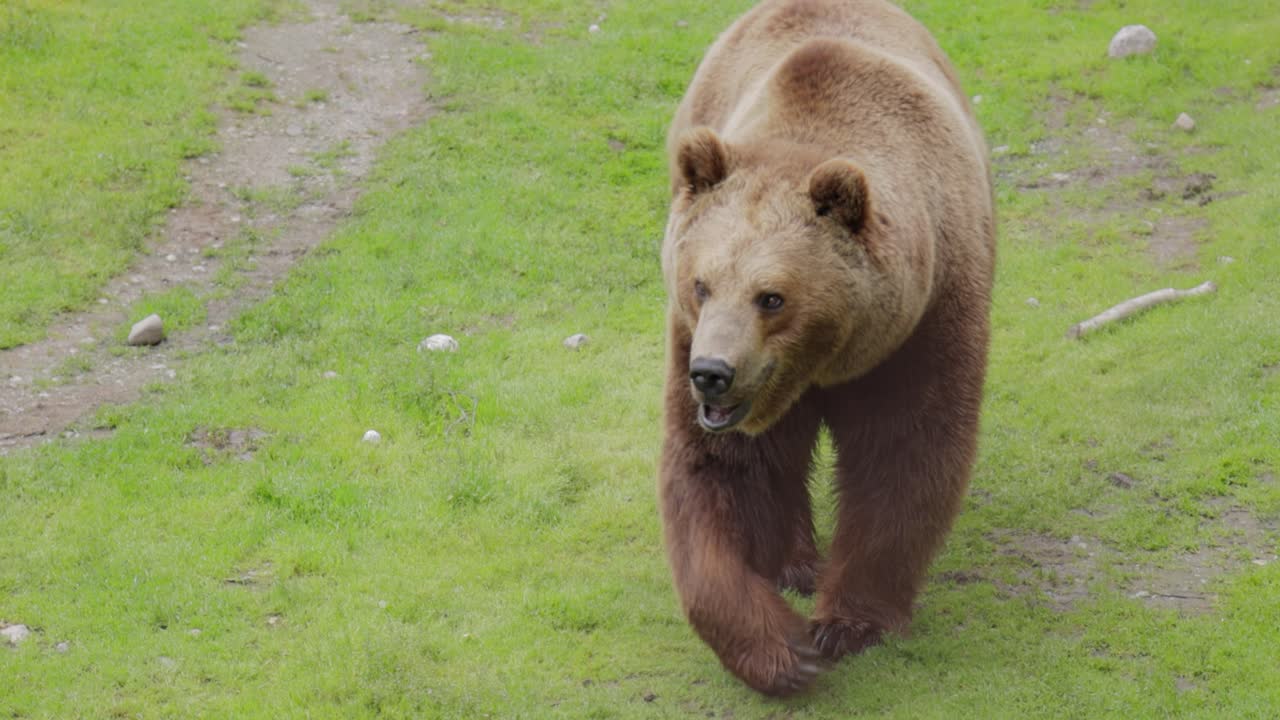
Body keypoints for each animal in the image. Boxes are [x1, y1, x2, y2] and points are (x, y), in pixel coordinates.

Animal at [658, 0, 995, 696]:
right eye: (701, 284)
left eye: (772, 297)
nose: (713, 373)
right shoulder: (687, 342)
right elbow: (716, 474)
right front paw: (780, 650)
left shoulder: (924, 324)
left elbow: (904, 456)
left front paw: (845, 624)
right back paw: (793, 562)